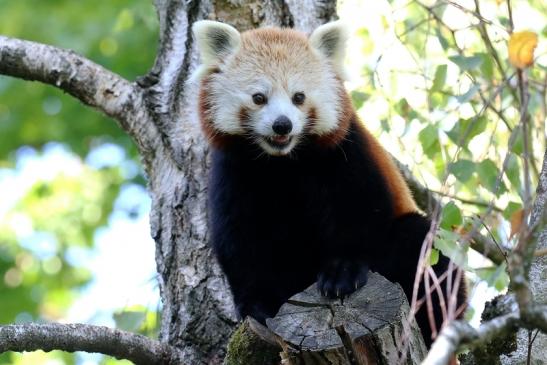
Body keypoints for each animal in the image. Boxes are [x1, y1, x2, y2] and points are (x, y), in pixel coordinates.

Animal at [192, 20, 466, 346]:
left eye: (298, 97)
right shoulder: (235, 174)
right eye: (259, 97)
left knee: (425, 248)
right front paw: (256, 306)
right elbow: (239, 241)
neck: (283, 163)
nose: (282, 125)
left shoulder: (345, 152)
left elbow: (360, 213)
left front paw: (342, 272)